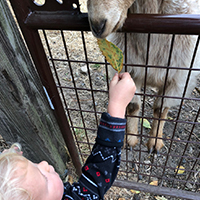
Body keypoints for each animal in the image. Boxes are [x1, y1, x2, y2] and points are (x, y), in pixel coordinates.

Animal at [87, 0, 200, 153]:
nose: (97, 27)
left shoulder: (178, 80)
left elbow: (161, 109)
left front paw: (155, 142)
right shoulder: (131, 71)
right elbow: (133, 105)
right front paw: (130, 139)